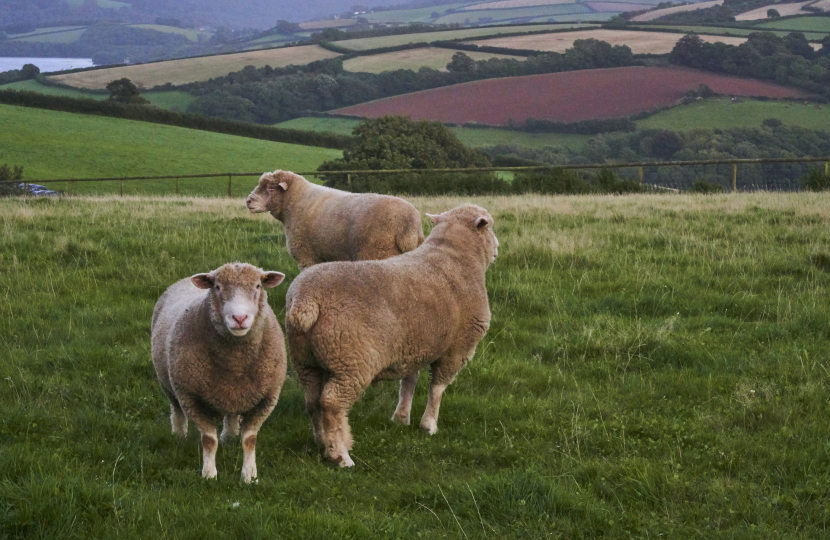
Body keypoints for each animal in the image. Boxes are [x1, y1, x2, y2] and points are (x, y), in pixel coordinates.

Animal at [153, 262, 290, 480]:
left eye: (258, 286)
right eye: (217, 287)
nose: (239, 317)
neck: (234, 365)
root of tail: (184, 280)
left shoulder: (266, 398)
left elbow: (249, 439)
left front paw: (249, 474)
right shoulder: (192, 398)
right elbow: (209, 440)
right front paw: (209, 474)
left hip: (235, 394)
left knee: (232, 414)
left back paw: (230, 436)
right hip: (168, 383)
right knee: (176, 409)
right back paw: (179, 434)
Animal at [242, 169, 422, 270]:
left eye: (271, 188)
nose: (248, 201)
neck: (293, 202)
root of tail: (408, 226)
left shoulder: (306, 256)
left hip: (378, 254)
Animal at [284, 205, 500, 466]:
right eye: (489, 226)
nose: (498, 248)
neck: (454, 255)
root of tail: (306, 300)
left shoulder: (413, 344)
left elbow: (409, 381)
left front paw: (401, 418)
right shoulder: (459, 346)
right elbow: (438, 387)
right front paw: (429, 425)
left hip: (306, 360)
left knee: (313, 400)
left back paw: (321, 442)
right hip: (351, 361)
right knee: (332, 404)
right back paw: (341, 456)